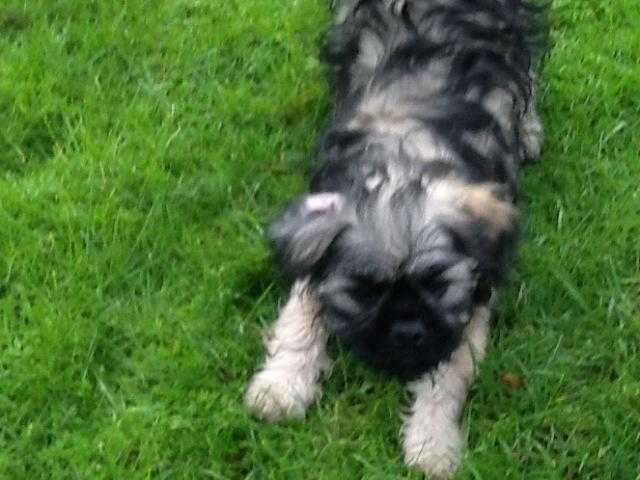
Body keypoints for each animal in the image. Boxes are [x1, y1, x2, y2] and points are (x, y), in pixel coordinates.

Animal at [248, 0, 548, 476]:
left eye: (438, 285)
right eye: (364, 291)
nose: (407, 332)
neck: (407, 159)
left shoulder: (470, 303)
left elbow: (449, 375)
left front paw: (432, 441)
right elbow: (299, 316)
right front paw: (281, 384)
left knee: (529, 68)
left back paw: (531, 129)